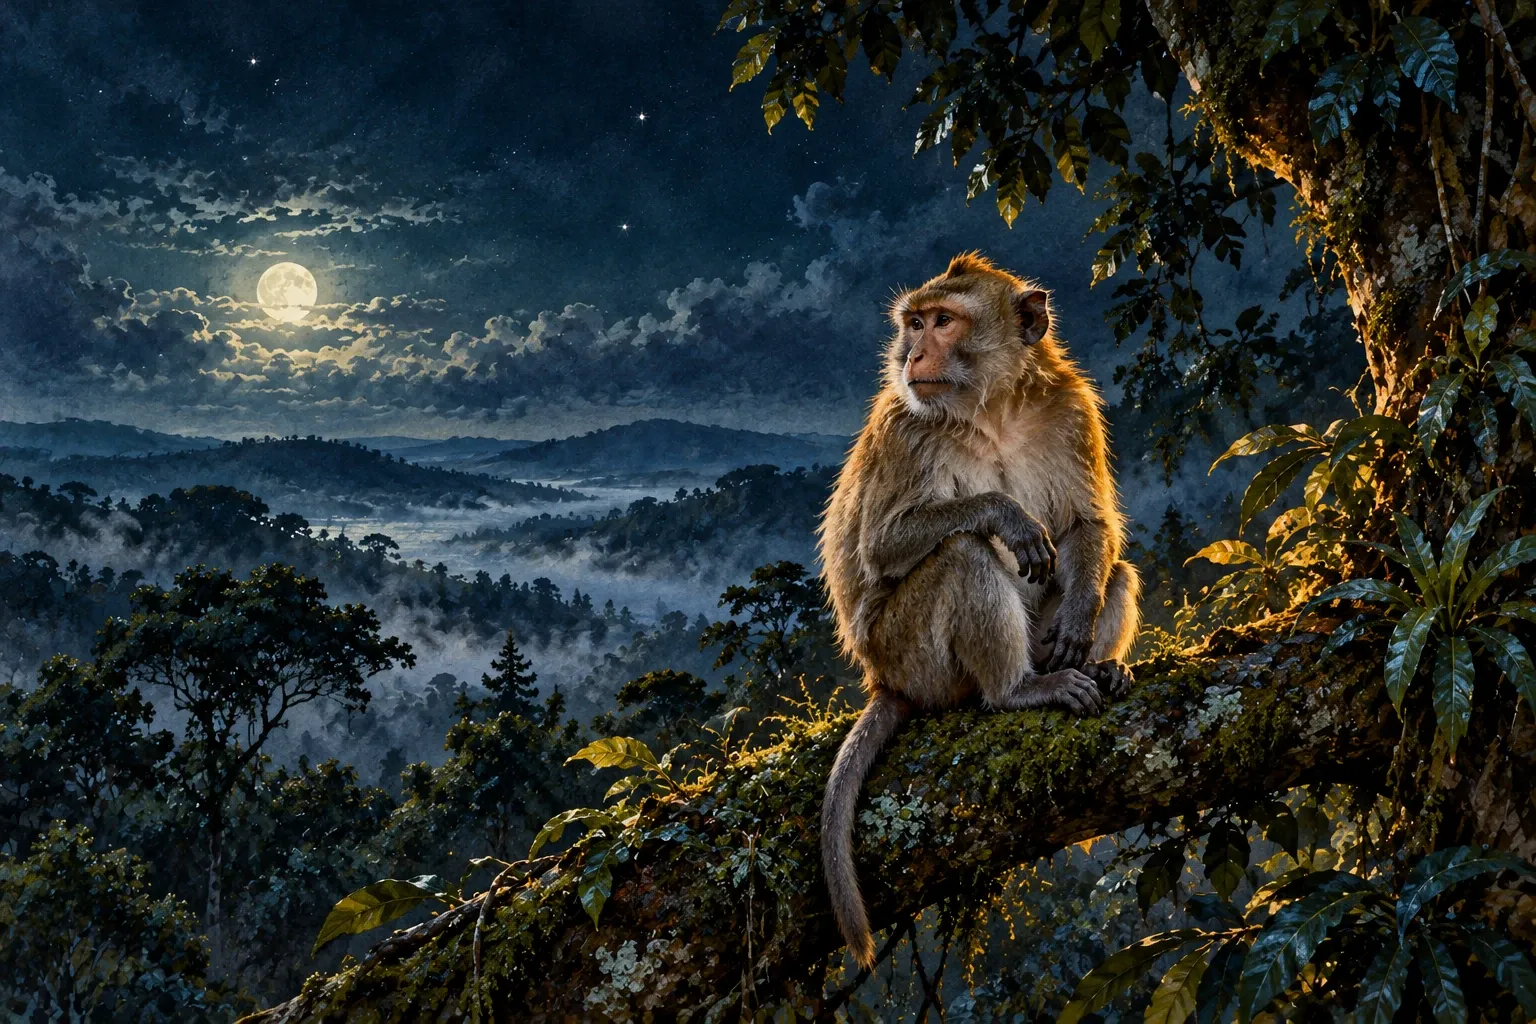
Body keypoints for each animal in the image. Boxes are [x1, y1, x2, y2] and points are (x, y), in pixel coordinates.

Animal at [817, 252, 1141, 968]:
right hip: (912, 655)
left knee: (1117, 572)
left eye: (943, 321)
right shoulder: (905, 428)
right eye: (913, 323)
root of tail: (882, 677)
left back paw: (1097, 666)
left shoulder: (1070, 409)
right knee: (962, 555)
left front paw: (1082, 616)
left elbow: (1087, 524)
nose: (912, 354)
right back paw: (1016, 688)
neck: (992, 408)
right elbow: (883, 543)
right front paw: (1004, 515)